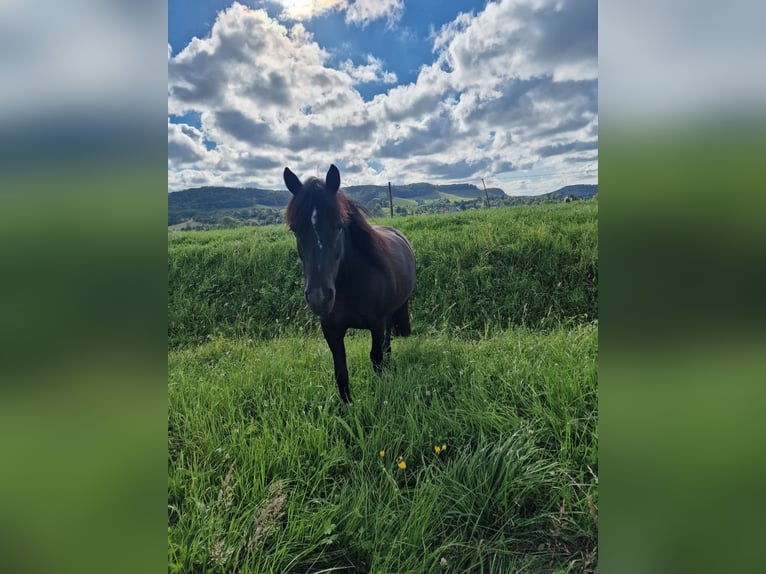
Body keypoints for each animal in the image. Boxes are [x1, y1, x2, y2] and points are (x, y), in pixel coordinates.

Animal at [284, 164, 416, 402]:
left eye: (339, 226)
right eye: (295, 229)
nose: (319, 298)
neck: (353, 284)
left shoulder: (376, 323)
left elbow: (376, 358)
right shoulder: (331, 329)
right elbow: (341, 372)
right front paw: (347, 407)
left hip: (391, 312)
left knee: (387, 341)